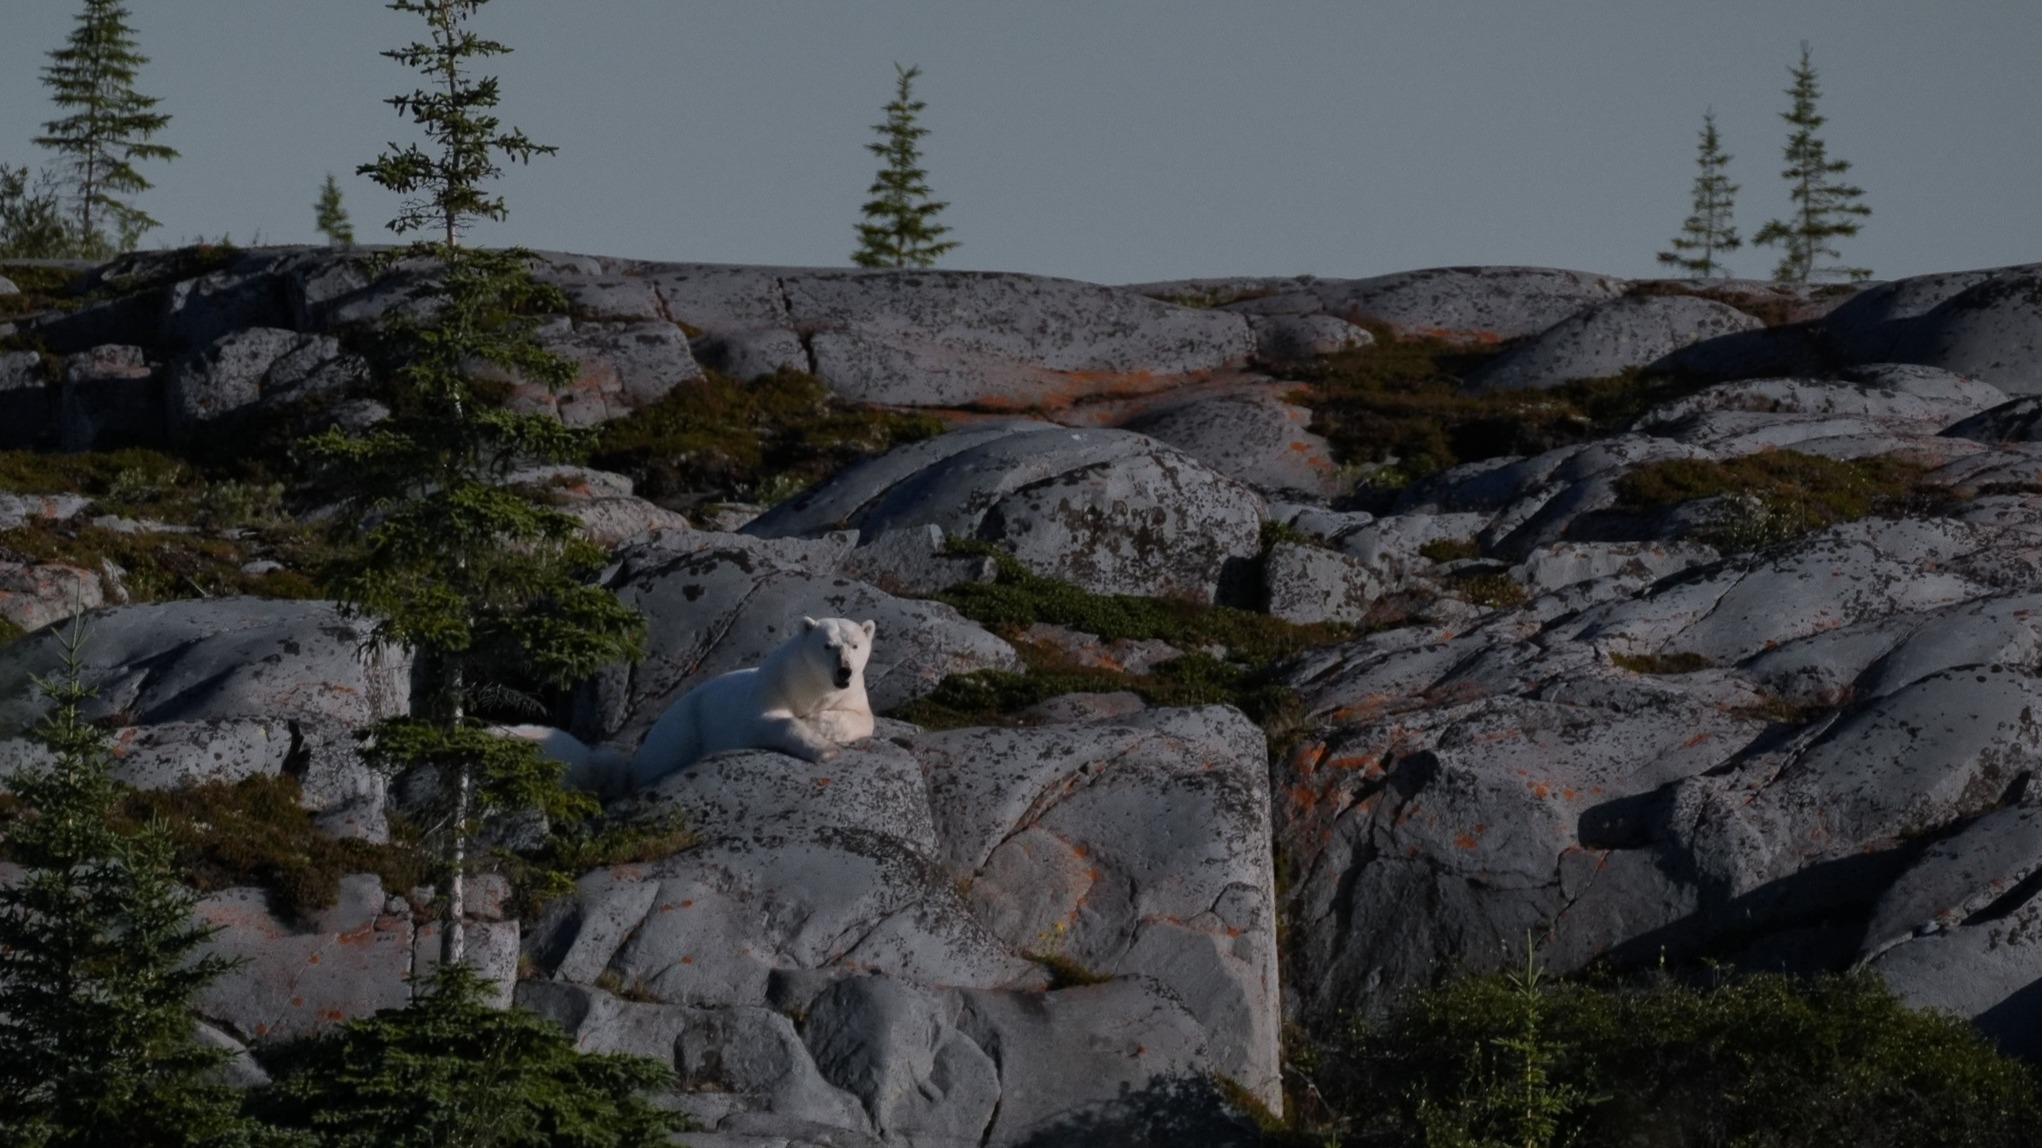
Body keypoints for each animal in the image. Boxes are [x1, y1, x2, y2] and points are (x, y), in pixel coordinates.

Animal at [507, 615, 878, 797]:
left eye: (855, 645)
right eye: (827, 645)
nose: (843, 671)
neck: (812, 685)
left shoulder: (853, 695)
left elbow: (863, 719)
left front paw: (820, 723)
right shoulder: (770, 689)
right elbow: (771, 721)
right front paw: (824, 749)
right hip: (682, 728)